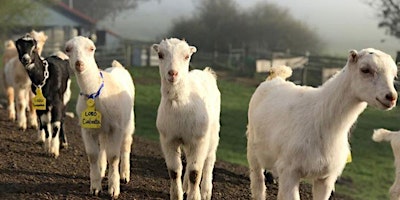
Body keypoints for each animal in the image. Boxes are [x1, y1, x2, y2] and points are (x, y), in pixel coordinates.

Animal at [65, 35, 135, 198]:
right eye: (68, 49)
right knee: (103, 145)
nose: (79, 63)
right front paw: (95, 187)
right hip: (102, 128)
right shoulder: (86, 129)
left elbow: (114, 157)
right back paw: (102, 170)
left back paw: (124, 175)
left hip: (128, 123)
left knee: (126, 145)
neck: (94, 93)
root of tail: (118, 66)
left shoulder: (116, 128)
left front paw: (114, 189)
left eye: (91, 48)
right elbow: (92, 155)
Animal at [152, 38, 220, 200]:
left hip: (213, 134)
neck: (180, 102)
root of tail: (206, 72)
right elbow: (174, 170)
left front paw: (195, 196)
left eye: (186, 56)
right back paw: (185, 187)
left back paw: (206, 191)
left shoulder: (199, 140)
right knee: (189, 162)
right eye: (160, 55)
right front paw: (177, 194)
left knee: (209, 161)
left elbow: (195, 172)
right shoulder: (168, 139)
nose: (173, 73)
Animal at [247, 48, 396, 200]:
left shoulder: (326, 177)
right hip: (253, 148)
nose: (391, 97)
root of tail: (275, 77)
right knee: (257, 181)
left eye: (394, 75)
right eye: (365, 69)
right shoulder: (290, 170)